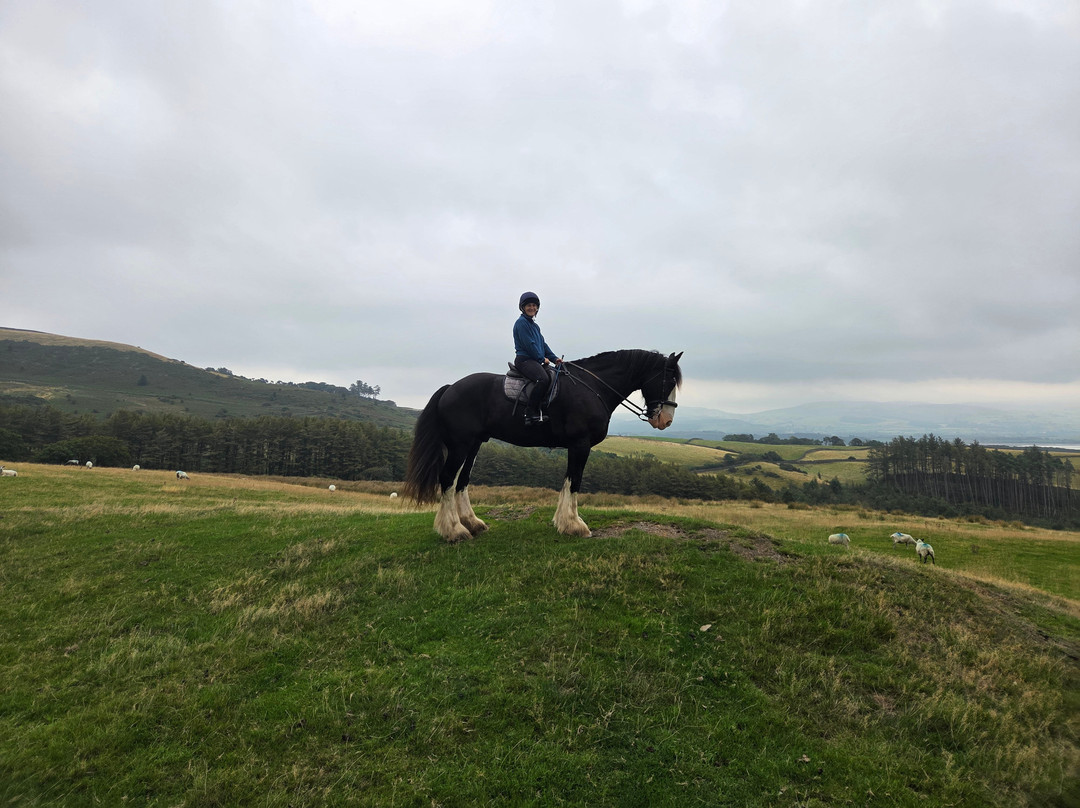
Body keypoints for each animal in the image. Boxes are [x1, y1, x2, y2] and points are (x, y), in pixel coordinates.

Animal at [404, 349, 683, 542]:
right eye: (669, 382)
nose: (666, 420)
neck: (593, 388)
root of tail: (451, 387)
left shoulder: (575, 446)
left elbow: (568, 481)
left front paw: (564, 522)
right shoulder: (580, 444)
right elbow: (575, 481)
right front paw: (574, 525)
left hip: (473, 445)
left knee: (461, 480)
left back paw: (472, 523)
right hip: (460, 445)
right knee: (447, 479)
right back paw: (453, 530)